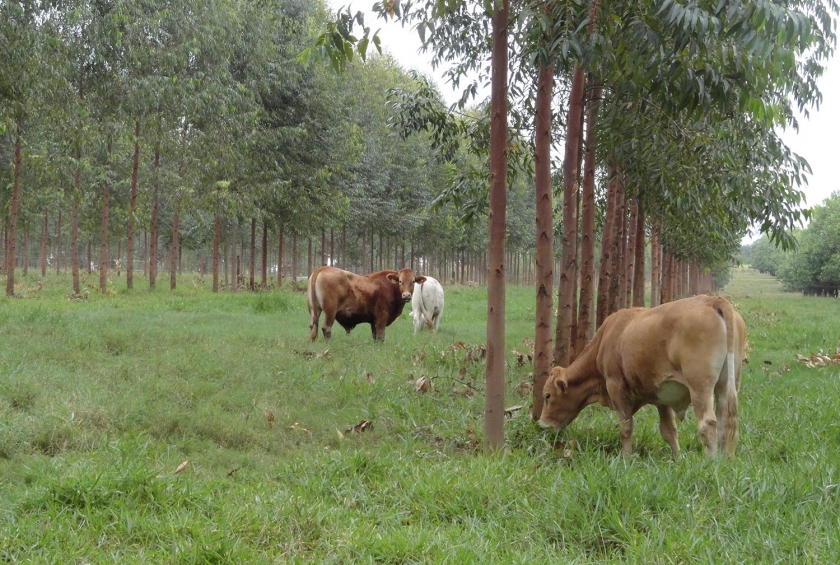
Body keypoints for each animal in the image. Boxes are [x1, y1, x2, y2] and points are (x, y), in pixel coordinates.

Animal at [540, 294, 744, 456]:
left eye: (547, 396)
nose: (542, 425)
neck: (607, 339)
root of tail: (712, 300)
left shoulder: (616, 386)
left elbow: (626, 427)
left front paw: (626, 458)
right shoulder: (662, 397)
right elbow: (669, 431)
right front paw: (678, 459)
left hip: (700, 387)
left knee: (708, 424)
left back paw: (711, 462)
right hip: (725, 386)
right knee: (725, 423)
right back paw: (725, 460)